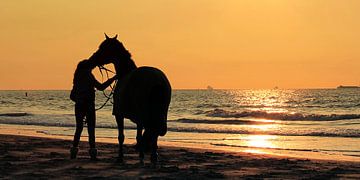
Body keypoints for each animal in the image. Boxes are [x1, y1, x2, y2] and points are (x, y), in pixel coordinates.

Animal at [88, 34, 171, 165]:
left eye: (103, 48)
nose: (92, 60)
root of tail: (157, 80)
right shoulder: (138, 118)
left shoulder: (119, 115)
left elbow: (122, 137)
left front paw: (121, 157)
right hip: (159, 112)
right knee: (154, 132)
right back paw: (153, 157)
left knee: (152, 131)